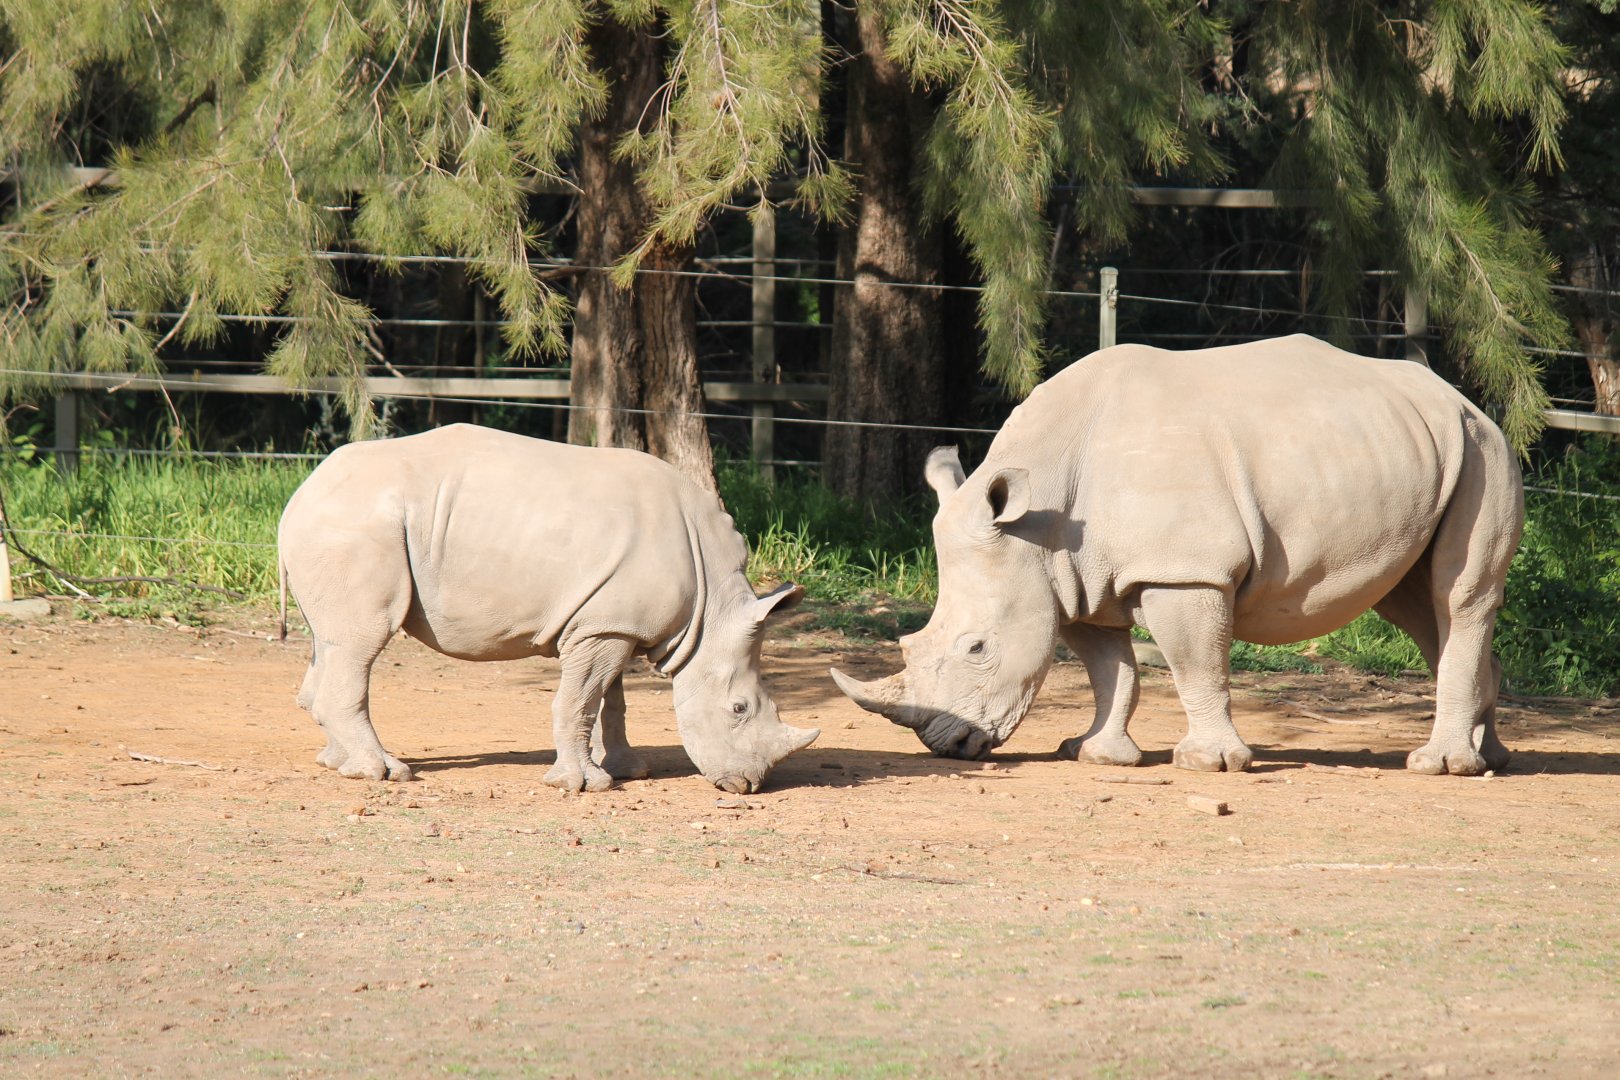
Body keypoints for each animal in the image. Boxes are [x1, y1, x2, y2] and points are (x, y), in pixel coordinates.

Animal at [278, 424, 817, 793]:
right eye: (739, 708)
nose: (749, 785)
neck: (712, 612)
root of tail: (300, 493)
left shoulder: (610, 621)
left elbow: (608, 702)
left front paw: (627, 770)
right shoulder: (606, 627)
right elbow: (579, 700)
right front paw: (584, 786)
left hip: (345, 526)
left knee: (330, 642)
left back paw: (337, 763)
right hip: (356, 527)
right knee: (362, 642)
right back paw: (384, 773)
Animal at [834, 335, 1524, 776]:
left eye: (977, 649)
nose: (944, 747)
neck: (1041, 517)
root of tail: (1460, 395)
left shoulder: (1184, 572)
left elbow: (1195, 666)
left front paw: (1207, 763)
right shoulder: (1074, 580)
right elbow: (1112, 671)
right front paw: (1094, 754)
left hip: (1484, 448)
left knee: (1458, 594)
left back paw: (1439, 767)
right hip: (1424, 454)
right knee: (1415, 602)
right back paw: (1487, 760)